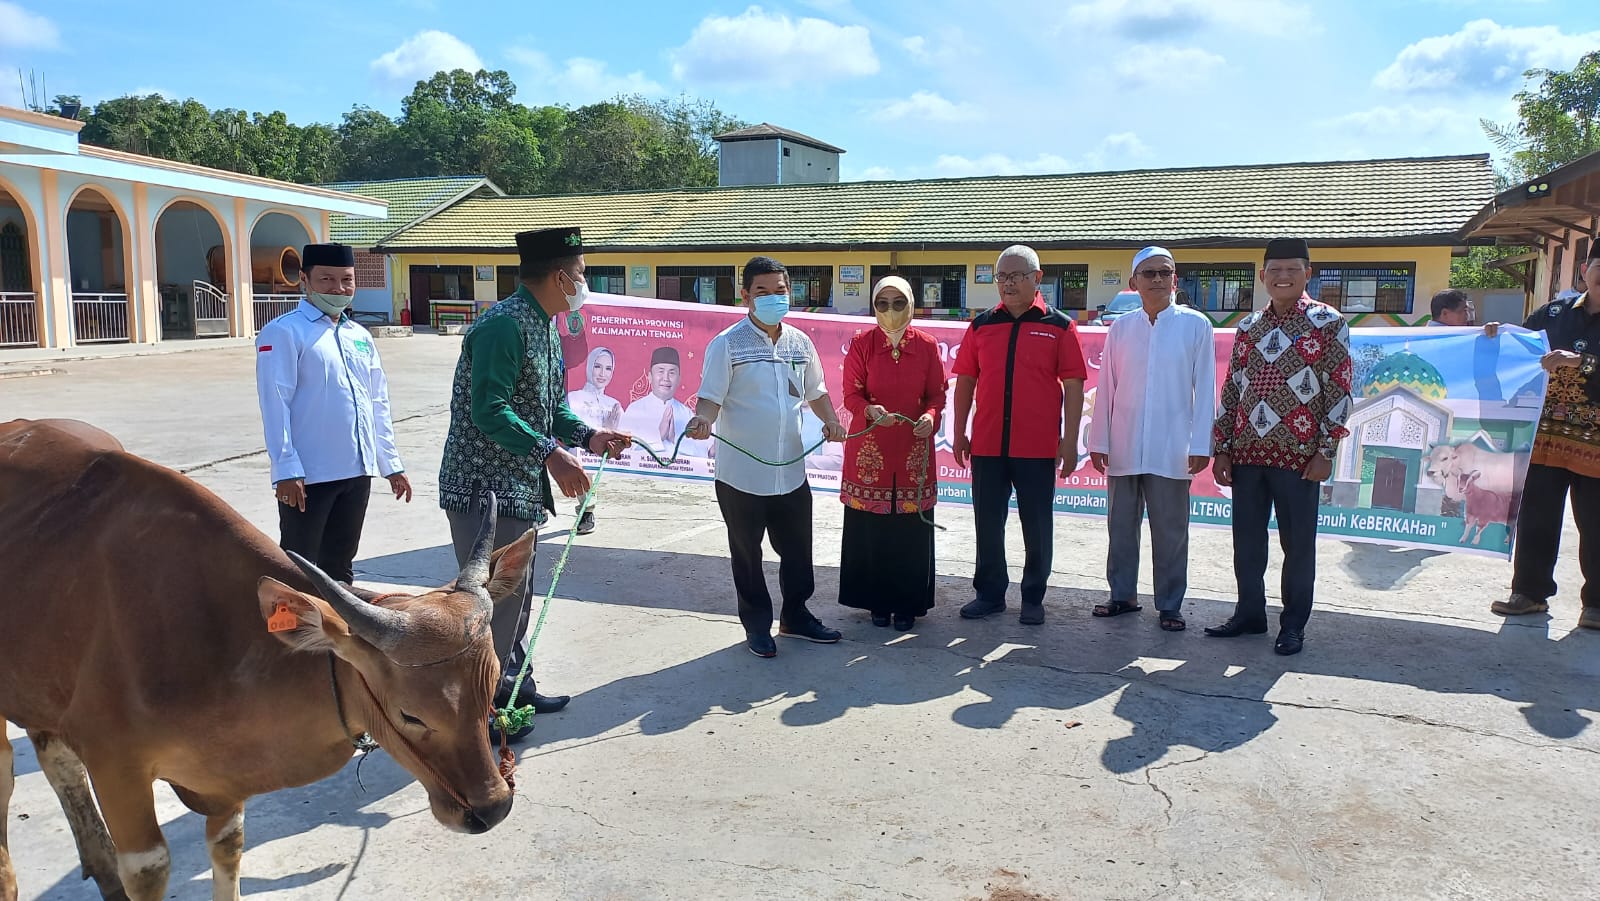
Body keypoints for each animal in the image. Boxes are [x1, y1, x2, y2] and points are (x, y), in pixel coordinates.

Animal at [3, 422, 534, 901]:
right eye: (411, 714)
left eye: (492, 689)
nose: (492, 807)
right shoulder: (115, 766)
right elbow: (149, 870)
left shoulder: (223, 783)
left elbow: (228, 846)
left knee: (56, 761)